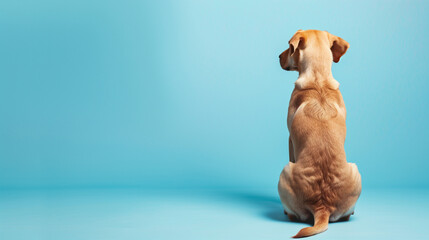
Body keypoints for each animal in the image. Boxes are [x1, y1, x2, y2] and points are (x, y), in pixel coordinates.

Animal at [278, 30, 362, 238]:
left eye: (289, 48)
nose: (278, 57)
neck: (319, 81)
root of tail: (322, 207)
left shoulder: (290, 139)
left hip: (285, 170)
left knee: (293, 214)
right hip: (356, 171)